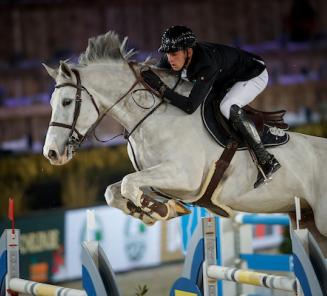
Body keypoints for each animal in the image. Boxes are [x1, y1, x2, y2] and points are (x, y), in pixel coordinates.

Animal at [42, 31, 327, 246]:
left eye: (67, 102)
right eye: (52, 103)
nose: (51, 153)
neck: (151, 116)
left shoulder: (183, 176)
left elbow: (127, 184)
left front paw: (160, 210)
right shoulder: (160, 180)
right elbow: (115, 190)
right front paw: (146, 211)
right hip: (309, 222)